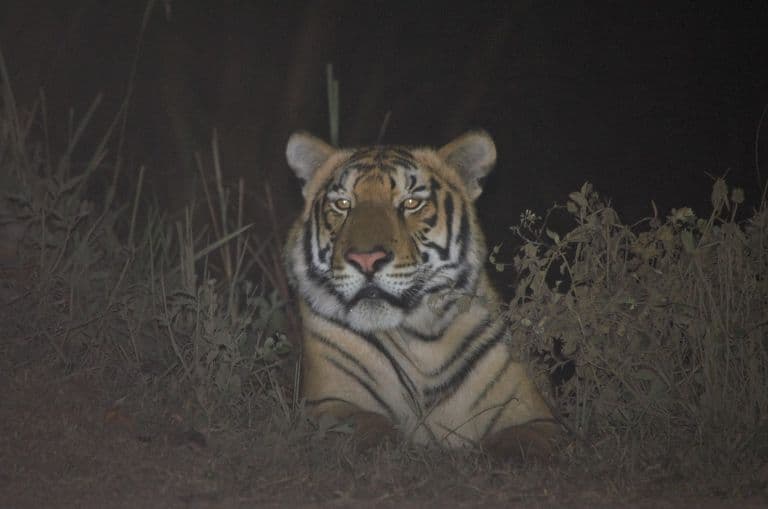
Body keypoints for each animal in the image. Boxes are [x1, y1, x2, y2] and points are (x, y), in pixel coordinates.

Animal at [284, 130, 558, 457]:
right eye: (343, 204)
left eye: (411, 202)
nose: (366, 259)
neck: (420, 338)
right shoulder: (328, 403)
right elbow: (366, 429)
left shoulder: (536, 415)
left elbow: (522, 442)